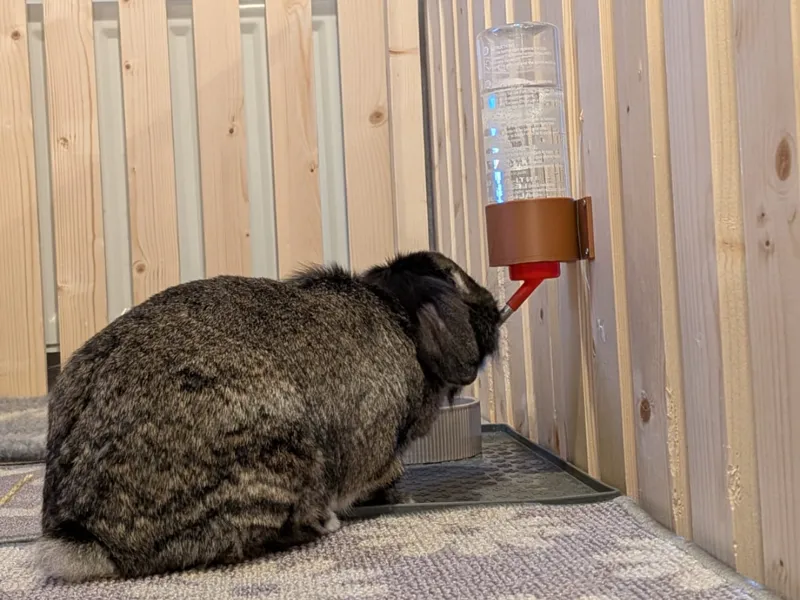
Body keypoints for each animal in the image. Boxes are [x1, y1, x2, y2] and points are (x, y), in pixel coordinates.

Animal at [35, 251, 501, 582]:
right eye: (459, 280)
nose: (495, 305)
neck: (399, 316)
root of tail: (87, 536)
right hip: (279, 459)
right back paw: (324, 525)